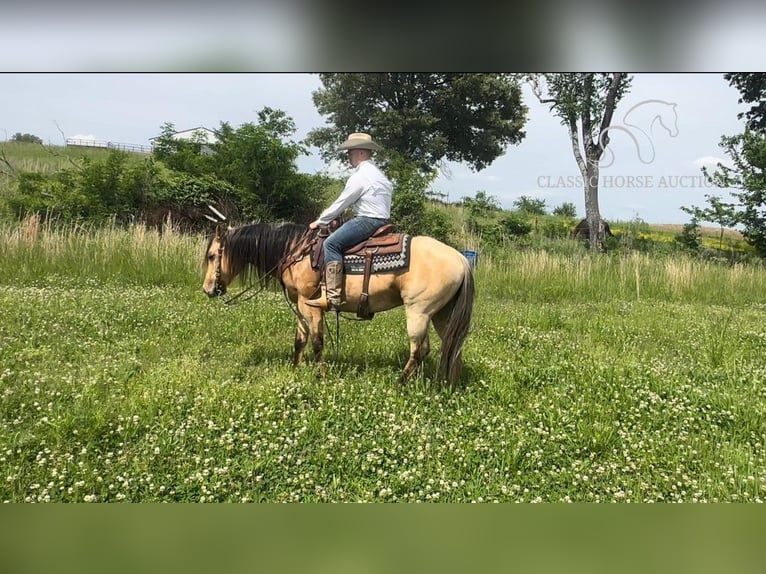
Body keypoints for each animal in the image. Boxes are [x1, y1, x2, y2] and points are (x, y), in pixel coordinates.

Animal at [200, 223, 474, 390]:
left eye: (212, 256)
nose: (207, 289)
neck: (295, 251)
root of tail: (461, 258)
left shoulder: (310, 305)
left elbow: (317, 341)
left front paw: (320, 377)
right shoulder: (300, 305)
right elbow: (300, 340)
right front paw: (296, 370)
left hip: (419, 312)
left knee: (420, 350)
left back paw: (399, 385)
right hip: (442, 315)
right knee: (453, 348)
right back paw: (446, 387)